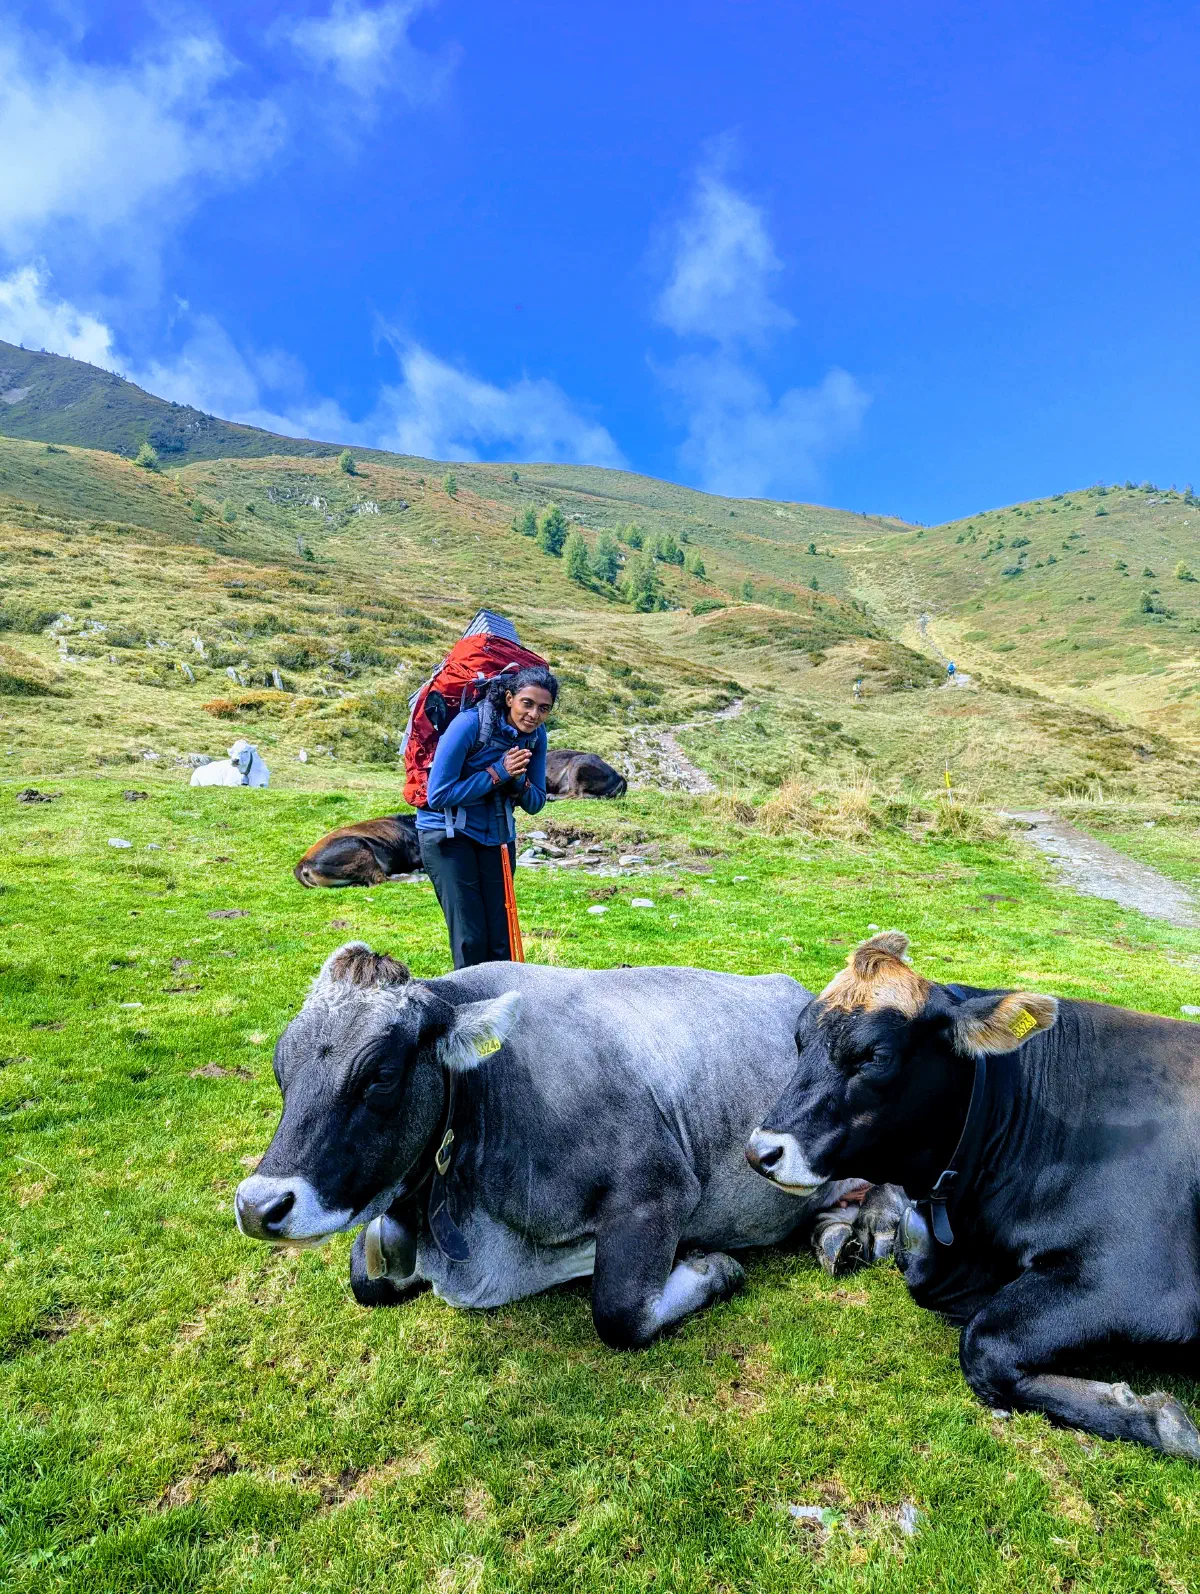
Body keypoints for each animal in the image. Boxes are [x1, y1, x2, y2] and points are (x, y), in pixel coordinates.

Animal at [234, 943, 896, 1348]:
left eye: (380, 1074)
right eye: (281, 1063)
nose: (258, 1206)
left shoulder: (658, 1187)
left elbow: (620, 1312)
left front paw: (711, 1266)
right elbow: (365, 1279)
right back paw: (837, 1237)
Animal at [746, 930, 1200, 1460]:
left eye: (874, 1056)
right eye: (800, 1042)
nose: (761, 1152)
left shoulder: (1140, 1279)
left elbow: (983, 1345)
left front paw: (1159, 1420)